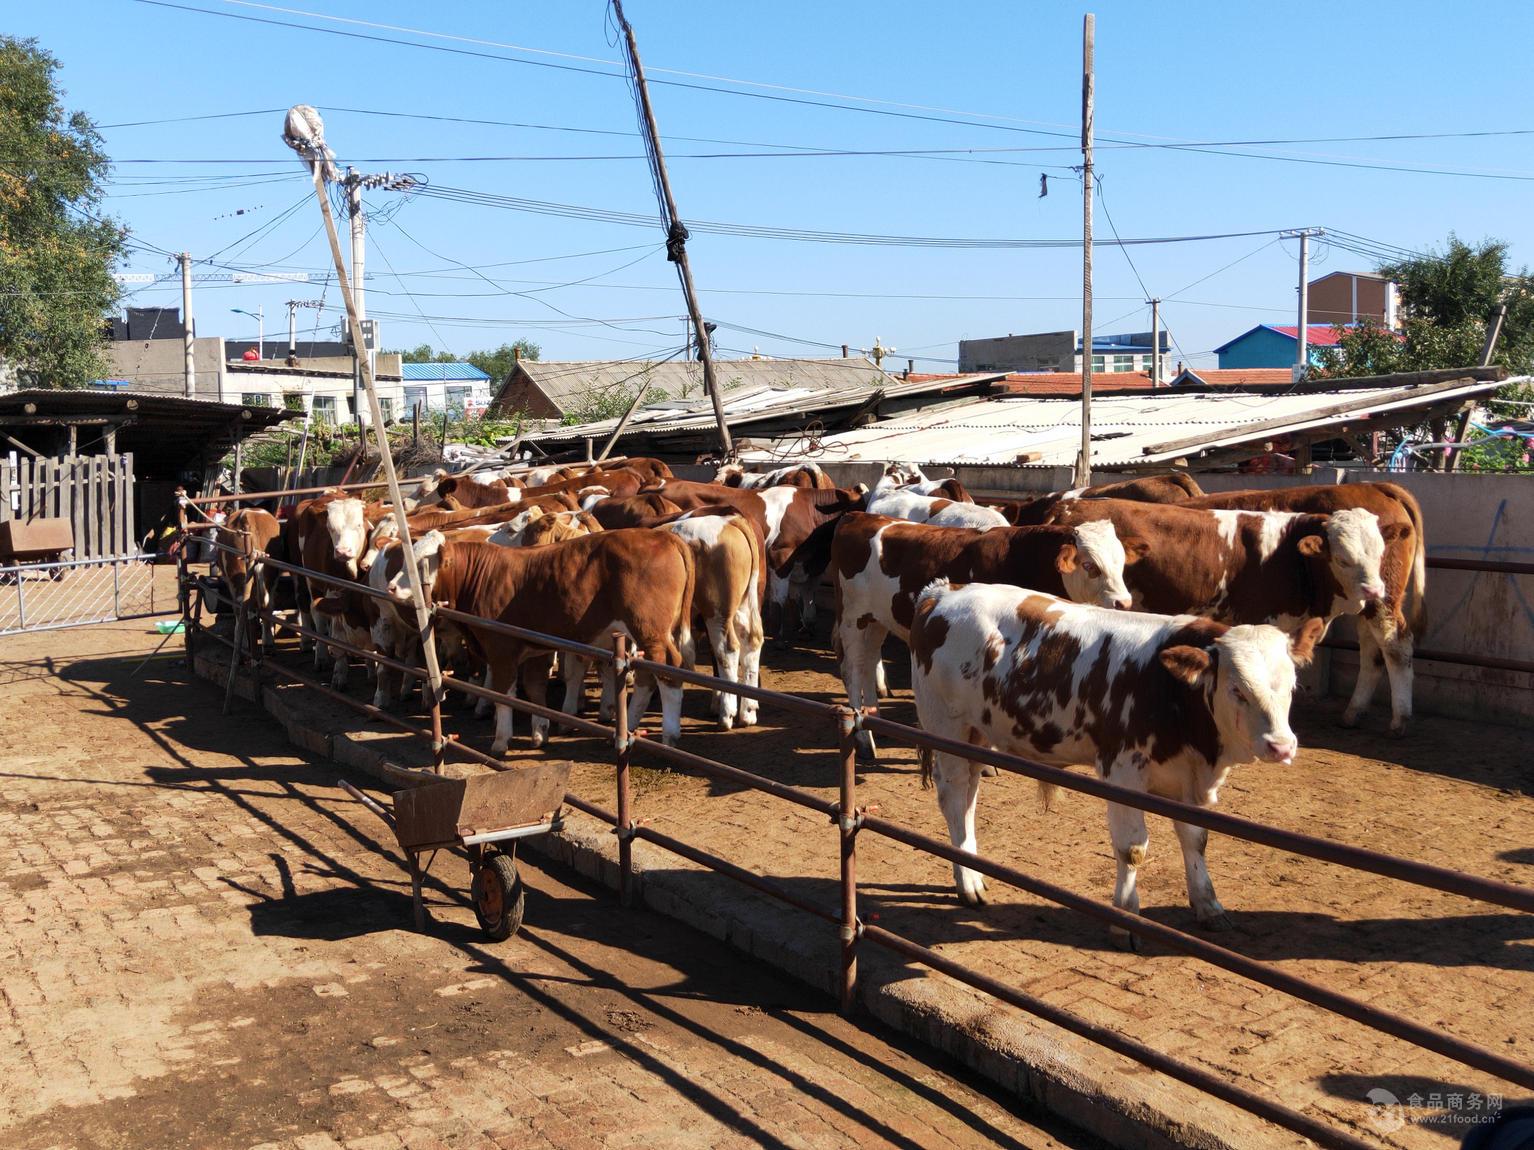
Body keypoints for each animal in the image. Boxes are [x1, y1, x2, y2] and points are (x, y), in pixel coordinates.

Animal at [377, 530, 696, 751]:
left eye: (420, 564)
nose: (391, 586)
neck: (482, 577)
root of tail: (662, 535)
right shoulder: (536, 648)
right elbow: (534, 688)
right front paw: (540, 730)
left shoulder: (501, 647)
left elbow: (504, 692)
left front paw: (501, 740)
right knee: (647, 676)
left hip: (650, 631)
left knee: (668, 670)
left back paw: (669, 733)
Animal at [828, 512, 1141, 757]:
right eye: (1090, 566)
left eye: (1121, 563)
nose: (1124, 603)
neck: (1022, 559)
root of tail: (858, 516)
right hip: (853, 618)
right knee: (853, 670)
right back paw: (863, 739)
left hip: (876, 620)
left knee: (867, 663)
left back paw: (875, 721)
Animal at [908, 585, 1331, 938]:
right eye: (1237, 689)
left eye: (1292, 685)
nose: (1282, 746)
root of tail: (942, 594)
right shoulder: (1123, 772)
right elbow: (1132, 848)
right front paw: (1125, 916)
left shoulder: (1188, 780)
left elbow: (1196, 838)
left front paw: (1208, 904)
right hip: (946, 726)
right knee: (954, 798)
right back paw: (967, 883)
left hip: (975, 736)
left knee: (968, 799)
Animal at [1171, 481, 1423, 732]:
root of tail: (1374, 485)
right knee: (1372, 650)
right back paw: (1354, 712)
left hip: (1382, 600)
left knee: (1395, 646)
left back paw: (1400, 718)